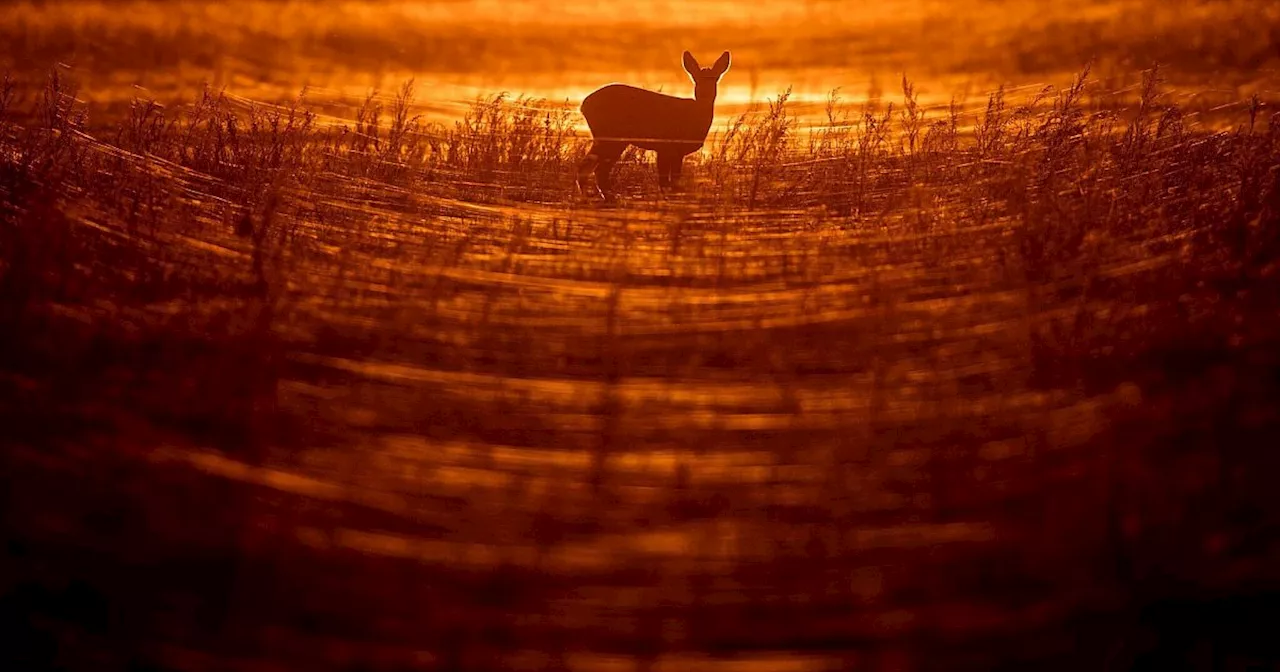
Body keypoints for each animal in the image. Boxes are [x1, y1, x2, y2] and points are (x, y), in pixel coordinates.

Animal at [578, 50, 732, 199]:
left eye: (715, 78)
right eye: (696, 79)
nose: (705, 93)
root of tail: (583, 105)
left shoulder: (674, 151)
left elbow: (672, 181)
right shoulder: (666, 146)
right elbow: (667, 182)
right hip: (610, 135)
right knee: (595, 168)